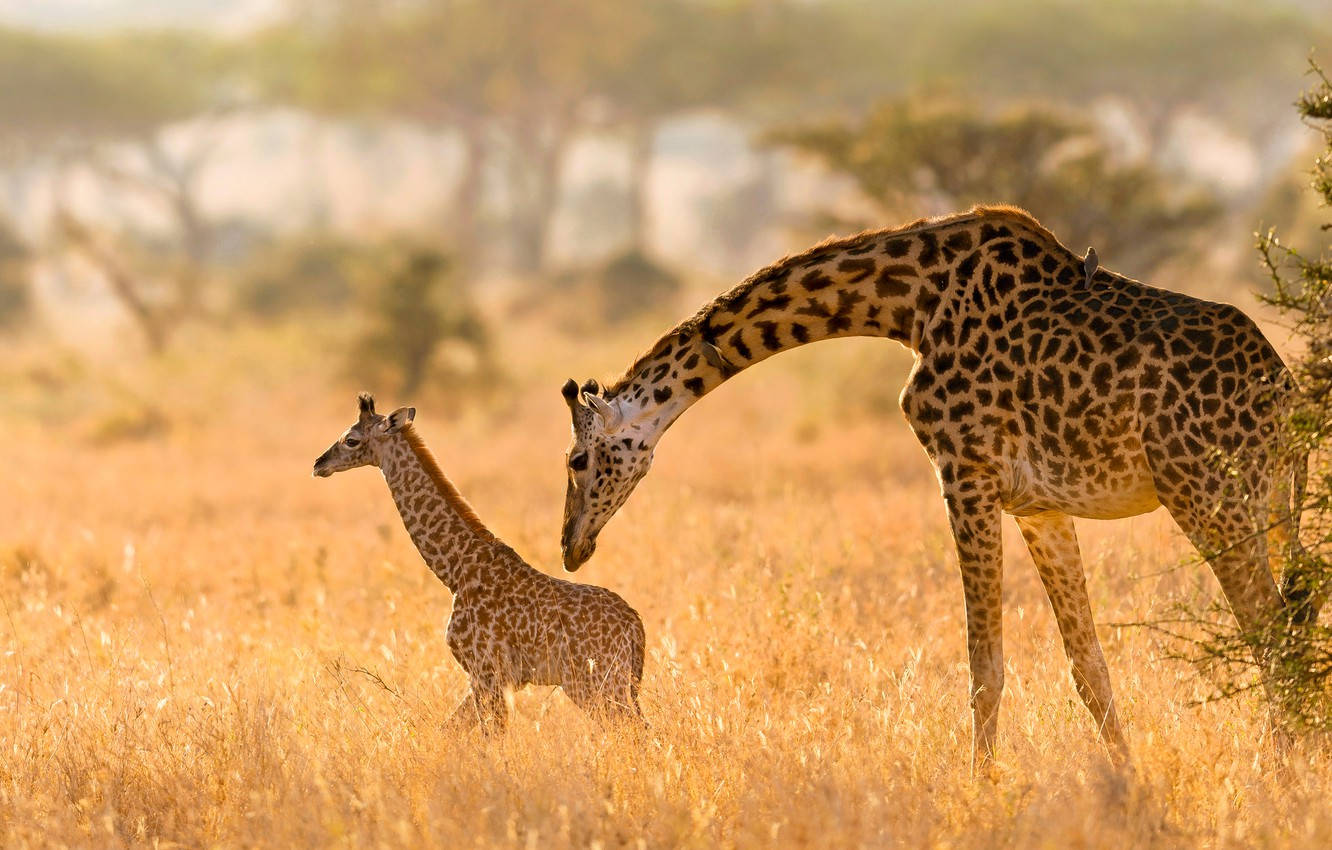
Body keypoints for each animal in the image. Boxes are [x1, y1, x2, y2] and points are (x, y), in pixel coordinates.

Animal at [314, 393, 646, 731]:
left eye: (351, 440)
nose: (319, 464)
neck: (455, 570)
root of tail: (636, 627)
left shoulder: (489, 671)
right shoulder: (488, 678)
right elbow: (450, 730)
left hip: (597, 682)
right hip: (605, 683)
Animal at [558, 205, 1309, 769]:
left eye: (576, 460)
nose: (570, 546)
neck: (905, 305)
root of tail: (1283, 390)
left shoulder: (964, 473)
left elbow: (984, 666)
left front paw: (982, 790)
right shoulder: (1037, 505)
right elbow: (1088, 667)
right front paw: (1127, 783)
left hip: (1207, 495)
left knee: (1272, 631)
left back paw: (1278, 771)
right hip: (1266, 502)